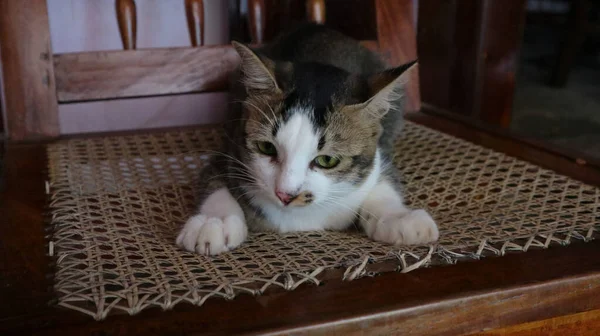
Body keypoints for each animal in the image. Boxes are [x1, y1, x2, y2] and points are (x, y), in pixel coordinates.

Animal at [176, 23, 438, 255]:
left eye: (327, 160)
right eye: (266, 147)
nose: (285, 195)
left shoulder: (379, 152)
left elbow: (383, 177)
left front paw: (399, 216)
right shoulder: (230, 146)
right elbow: (213, 177)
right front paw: (214, 222)